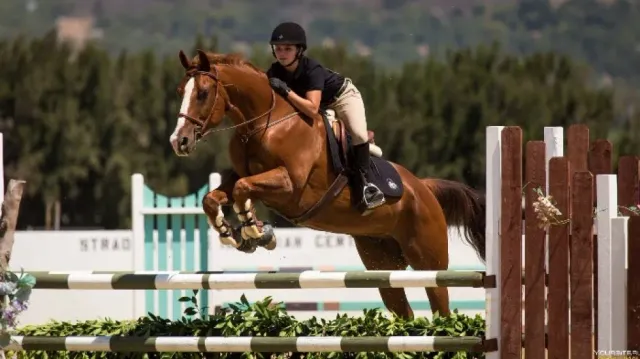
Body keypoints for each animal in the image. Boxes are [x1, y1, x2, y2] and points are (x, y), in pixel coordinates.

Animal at [170, 49, 484, 320]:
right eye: (180, 92)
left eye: (202, 93)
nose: (179, 141)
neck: (264, 124)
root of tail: (423, 188)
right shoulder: (243, 176)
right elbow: (215, 197)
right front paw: (234, 233)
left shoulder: (290, 185)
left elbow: (242, 189)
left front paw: (255, 231)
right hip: (382, 263)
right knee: (402, 310)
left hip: (428, 261)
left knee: (440, 305)